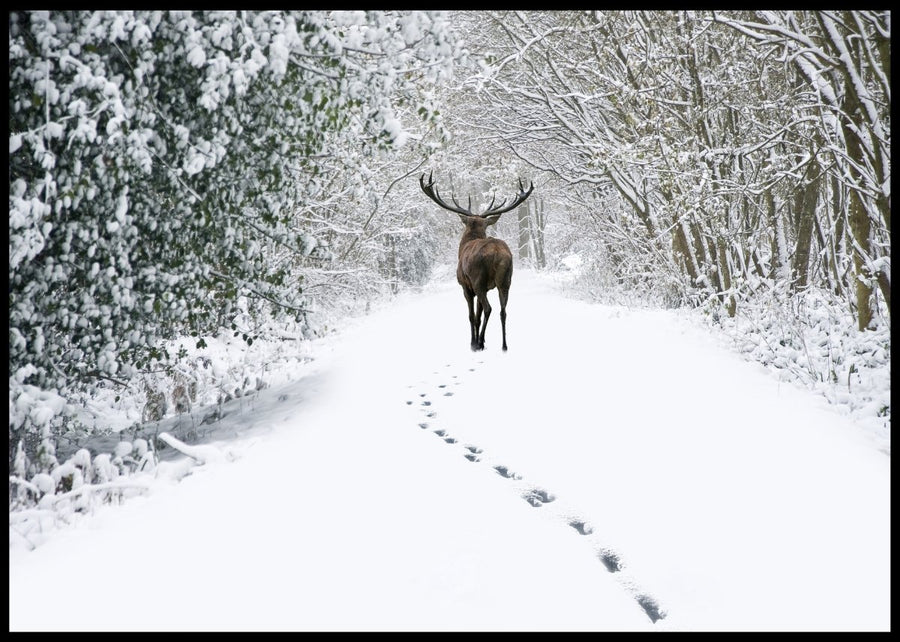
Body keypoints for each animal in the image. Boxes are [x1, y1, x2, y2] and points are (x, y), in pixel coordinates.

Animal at [419, 171, 534, 351]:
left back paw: (478, 343)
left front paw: (473, 342)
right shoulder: (486, 287)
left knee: (489, 308)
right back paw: (504, 345)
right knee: (503, 311)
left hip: (478, 279)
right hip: (506, 280)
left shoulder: (466, 286)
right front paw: (483, 340)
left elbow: (472, 316)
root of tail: (497, 252)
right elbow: (478, 316)